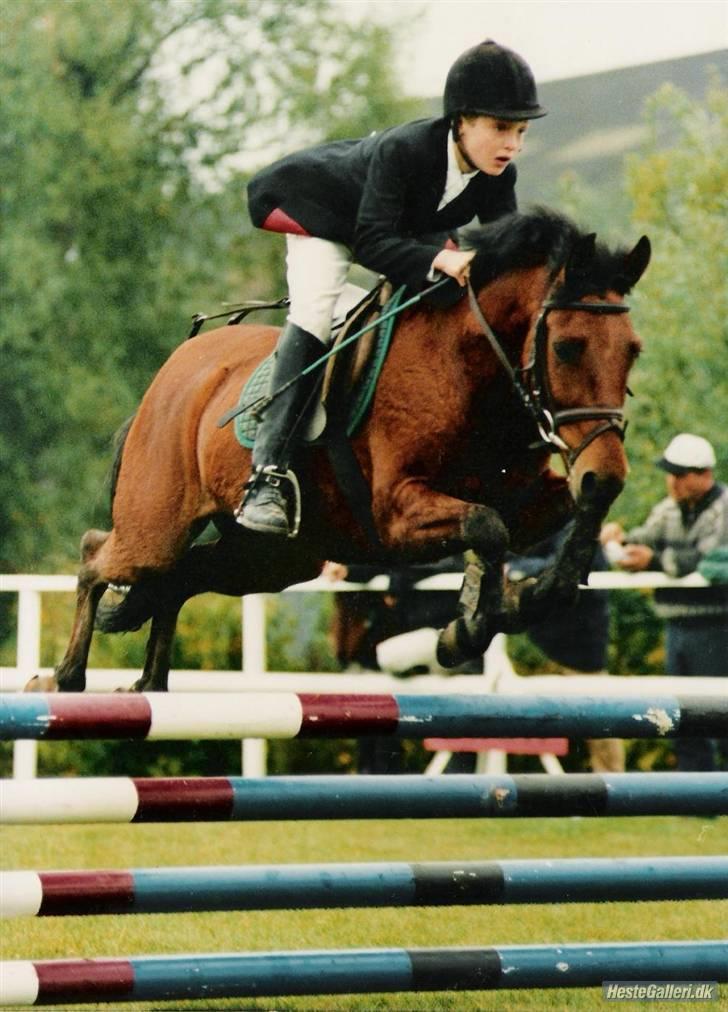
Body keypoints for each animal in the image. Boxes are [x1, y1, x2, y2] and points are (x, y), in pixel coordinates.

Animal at [28, 208, 650, 694]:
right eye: (567, 347)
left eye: (633, 351)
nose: (606, 474)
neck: (473, 372)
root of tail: (176, 369)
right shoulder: (395, 511)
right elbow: (486, 527)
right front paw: (467, 630)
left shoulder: (527, 498)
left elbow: (555, 521)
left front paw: (520, 601)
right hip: (159, 524)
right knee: (99, 554)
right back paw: (64, 677)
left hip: (274, 557)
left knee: (180, 577)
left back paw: (149, 683)